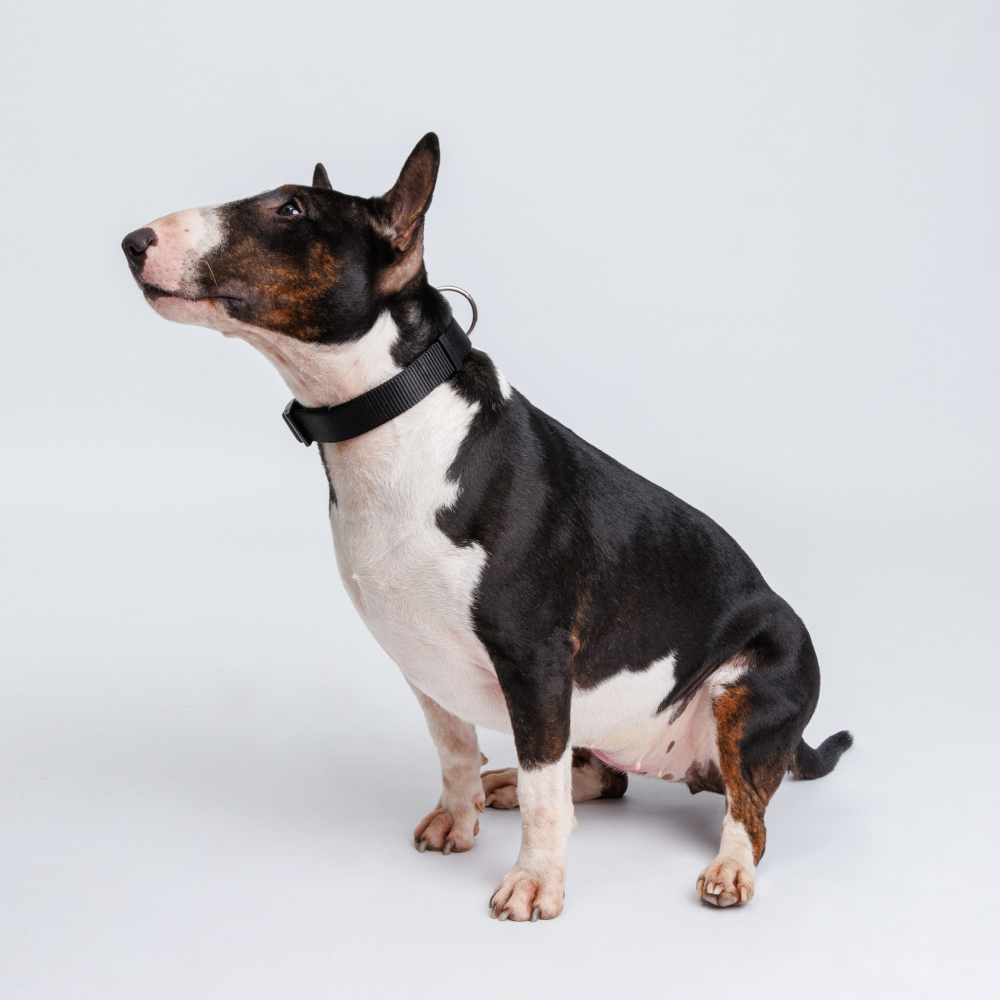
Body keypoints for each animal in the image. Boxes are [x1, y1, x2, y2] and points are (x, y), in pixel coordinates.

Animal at [122, 133, 852, 921]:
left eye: (291, 208)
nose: (134, 242)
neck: (396, 420)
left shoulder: (535, 659)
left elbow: (543, 788)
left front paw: (535, 880)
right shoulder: (420, 658)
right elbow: (455, 748)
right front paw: (460, 815)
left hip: (746, 694)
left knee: (747, 809)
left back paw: (729, 869)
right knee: (601, 774)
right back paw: (510, 784)